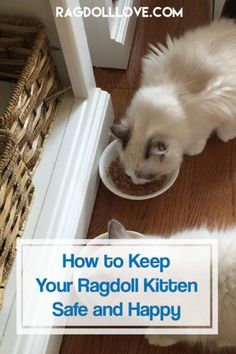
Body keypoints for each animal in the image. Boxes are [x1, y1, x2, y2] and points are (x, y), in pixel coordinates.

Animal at [110, 20, 236, 185]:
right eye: (128, 174)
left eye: (147, 176)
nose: (136, 183)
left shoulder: (212, 111)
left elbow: (204, 134)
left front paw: (195, 149)